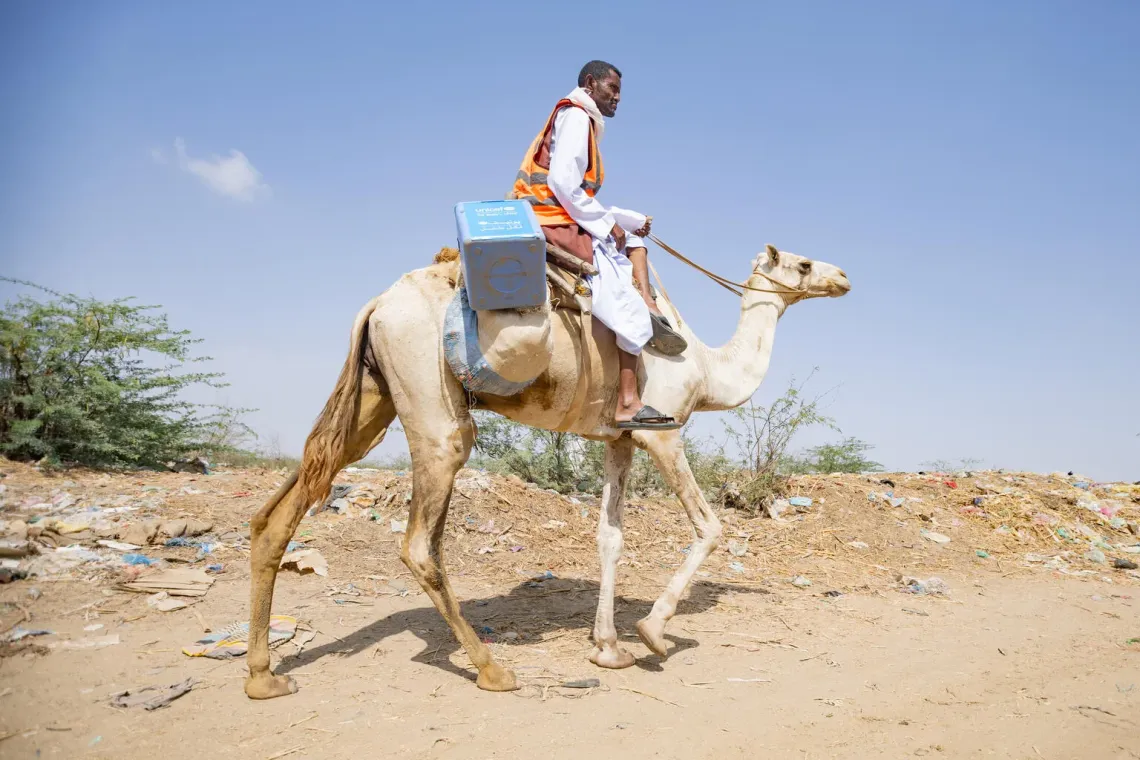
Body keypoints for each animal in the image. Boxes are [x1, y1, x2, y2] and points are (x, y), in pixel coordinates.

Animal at [244, 242, 851, 699]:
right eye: (801, 263)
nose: (843, 275)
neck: (706, 369)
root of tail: (376, 305)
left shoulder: (619, 438)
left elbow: (610, 536)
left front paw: (608, 649)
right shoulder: (663, 430)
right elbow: (709, 527)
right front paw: (652, 632)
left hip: (373, 400)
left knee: (286, 504)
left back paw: (264, 677)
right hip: (431, 404)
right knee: (420, 539)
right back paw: (493, 669)